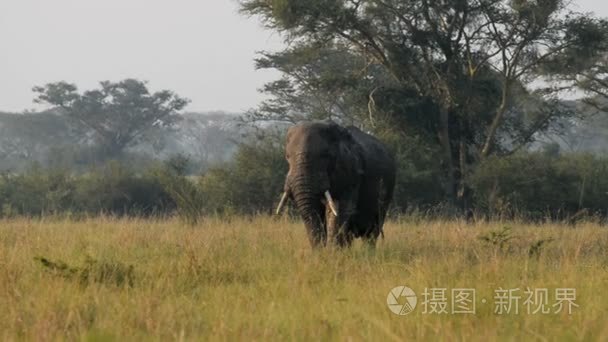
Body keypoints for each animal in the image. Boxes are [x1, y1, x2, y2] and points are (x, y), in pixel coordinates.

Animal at [276, 120, 400, 248]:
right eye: (287, 156)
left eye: (325, 155)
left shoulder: (351, 174)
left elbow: (339, 211)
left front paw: (332, 251)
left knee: (371, 232)